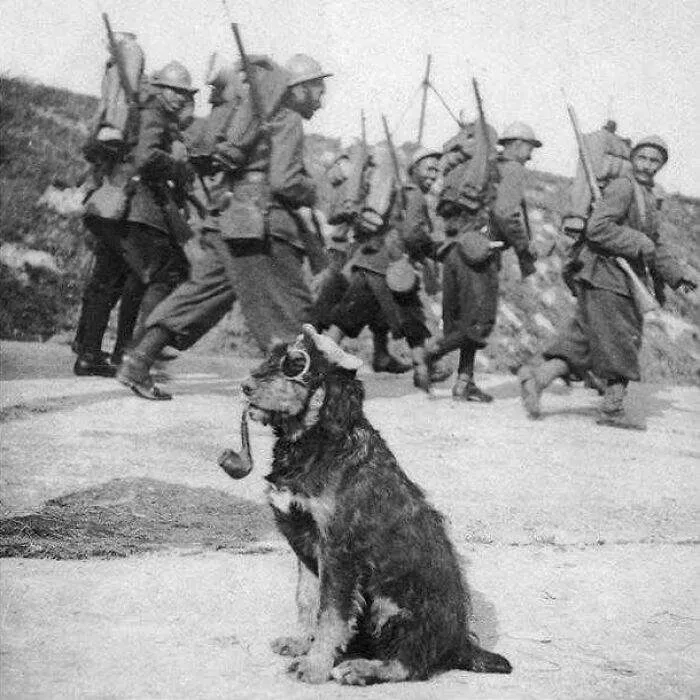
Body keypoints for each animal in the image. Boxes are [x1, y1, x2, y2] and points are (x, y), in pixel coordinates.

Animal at [232, 326, 512, 688]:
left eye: (295, 364)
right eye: (271, 356)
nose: (244, 386)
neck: (315, 442)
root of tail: (460, 642)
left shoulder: (338, 553)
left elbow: (331, 614)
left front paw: (314, 666)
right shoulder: (306, 547)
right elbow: (307, 600)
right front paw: (301, 643)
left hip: (391, 605)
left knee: (409, 663)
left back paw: (359, 668)